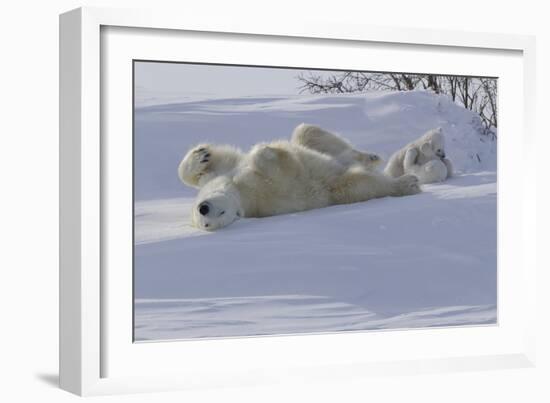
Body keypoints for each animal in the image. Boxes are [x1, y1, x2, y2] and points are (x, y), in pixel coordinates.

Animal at [179, 123, 420, 230]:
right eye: (206, 223)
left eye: (219, 212)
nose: (204, 208)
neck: (239, 191)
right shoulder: (266, 194)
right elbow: (284, 169)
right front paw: (266, 152)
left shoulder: (224, 174)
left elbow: (207, 168)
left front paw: (202, 154)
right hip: (337, 189)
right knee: (359, 183)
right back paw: (407, 183)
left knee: (307, 132)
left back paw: (370, 157)